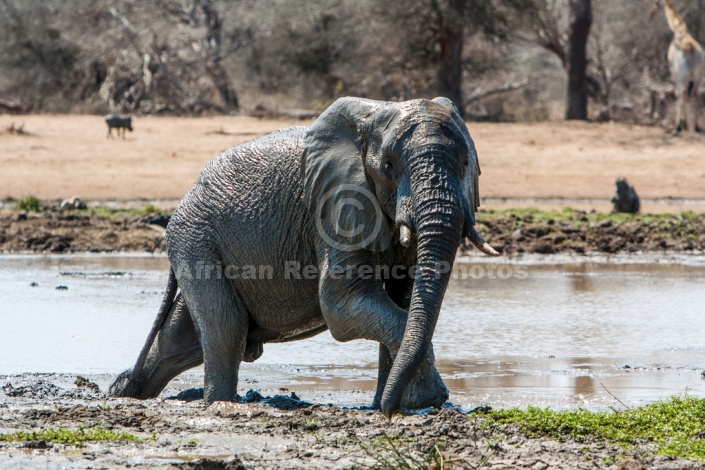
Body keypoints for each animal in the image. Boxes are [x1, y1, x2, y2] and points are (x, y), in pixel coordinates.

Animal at [108, 96, 496, 418]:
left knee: (183, 338)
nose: (389, 411)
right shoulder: (335, 206)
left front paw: (397, 404)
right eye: (388, 165)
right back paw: (219, 404)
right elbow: (343, 304)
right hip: (195, 238)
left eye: (466, 163)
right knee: (225, 327)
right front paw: (425, 400)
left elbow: (404, 299)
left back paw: (125, 391)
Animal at [652, 0, 700, 132]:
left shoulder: (673, 70)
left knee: (681, 91)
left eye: (656, 2)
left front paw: (681, 124)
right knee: (694, 92)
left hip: (682, 72)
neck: (678, 29)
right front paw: (686, 124)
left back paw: (677, 126)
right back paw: (696, 126)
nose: (651, 13)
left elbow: (677, 92)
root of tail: (691, 49)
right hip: (698, 73)